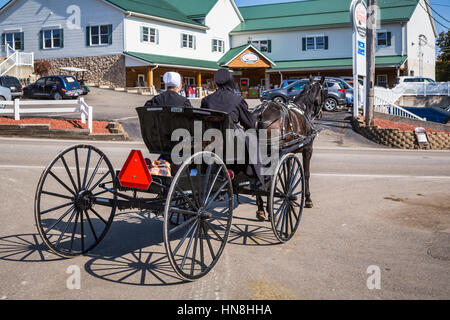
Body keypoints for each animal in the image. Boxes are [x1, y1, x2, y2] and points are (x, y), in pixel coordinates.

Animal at [253, 74, 324, 220]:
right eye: (323, 91)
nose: (320, 114)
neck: (303, 109)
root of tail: (261, 112)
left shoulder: (289, 152)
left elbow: (289, 172)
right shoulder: (307, 150)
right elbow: (306, 174)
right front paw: (308, 199)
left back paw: (261, 208)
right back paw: (269, 210)